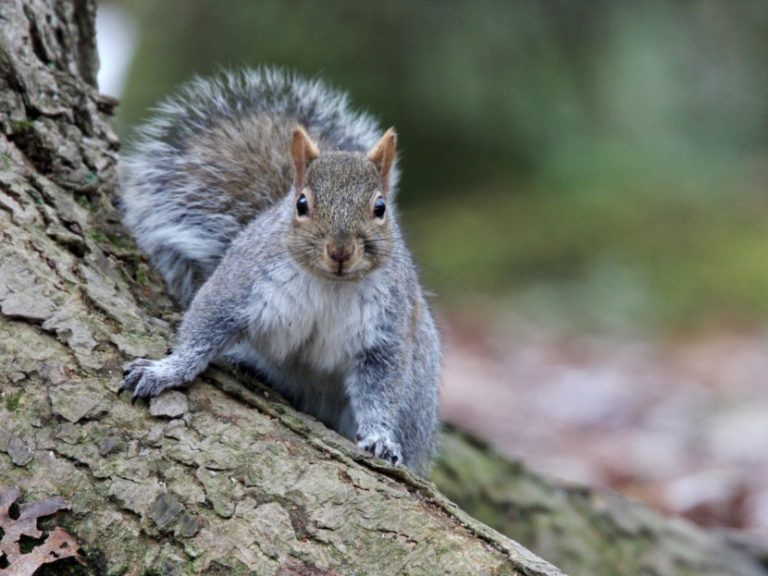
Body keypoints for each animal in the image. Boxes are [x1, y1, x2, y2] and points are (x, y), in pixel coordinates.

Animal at [121, 68, 444, 472]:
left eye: (381, 208)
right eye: (301, 204)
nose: (340, 251)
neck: (329, 283)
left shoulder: (386, 328)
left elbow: (380, 389)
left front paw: (380, 438)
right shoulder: (241, 282)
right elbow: (203, 326)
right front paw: (166, 371)